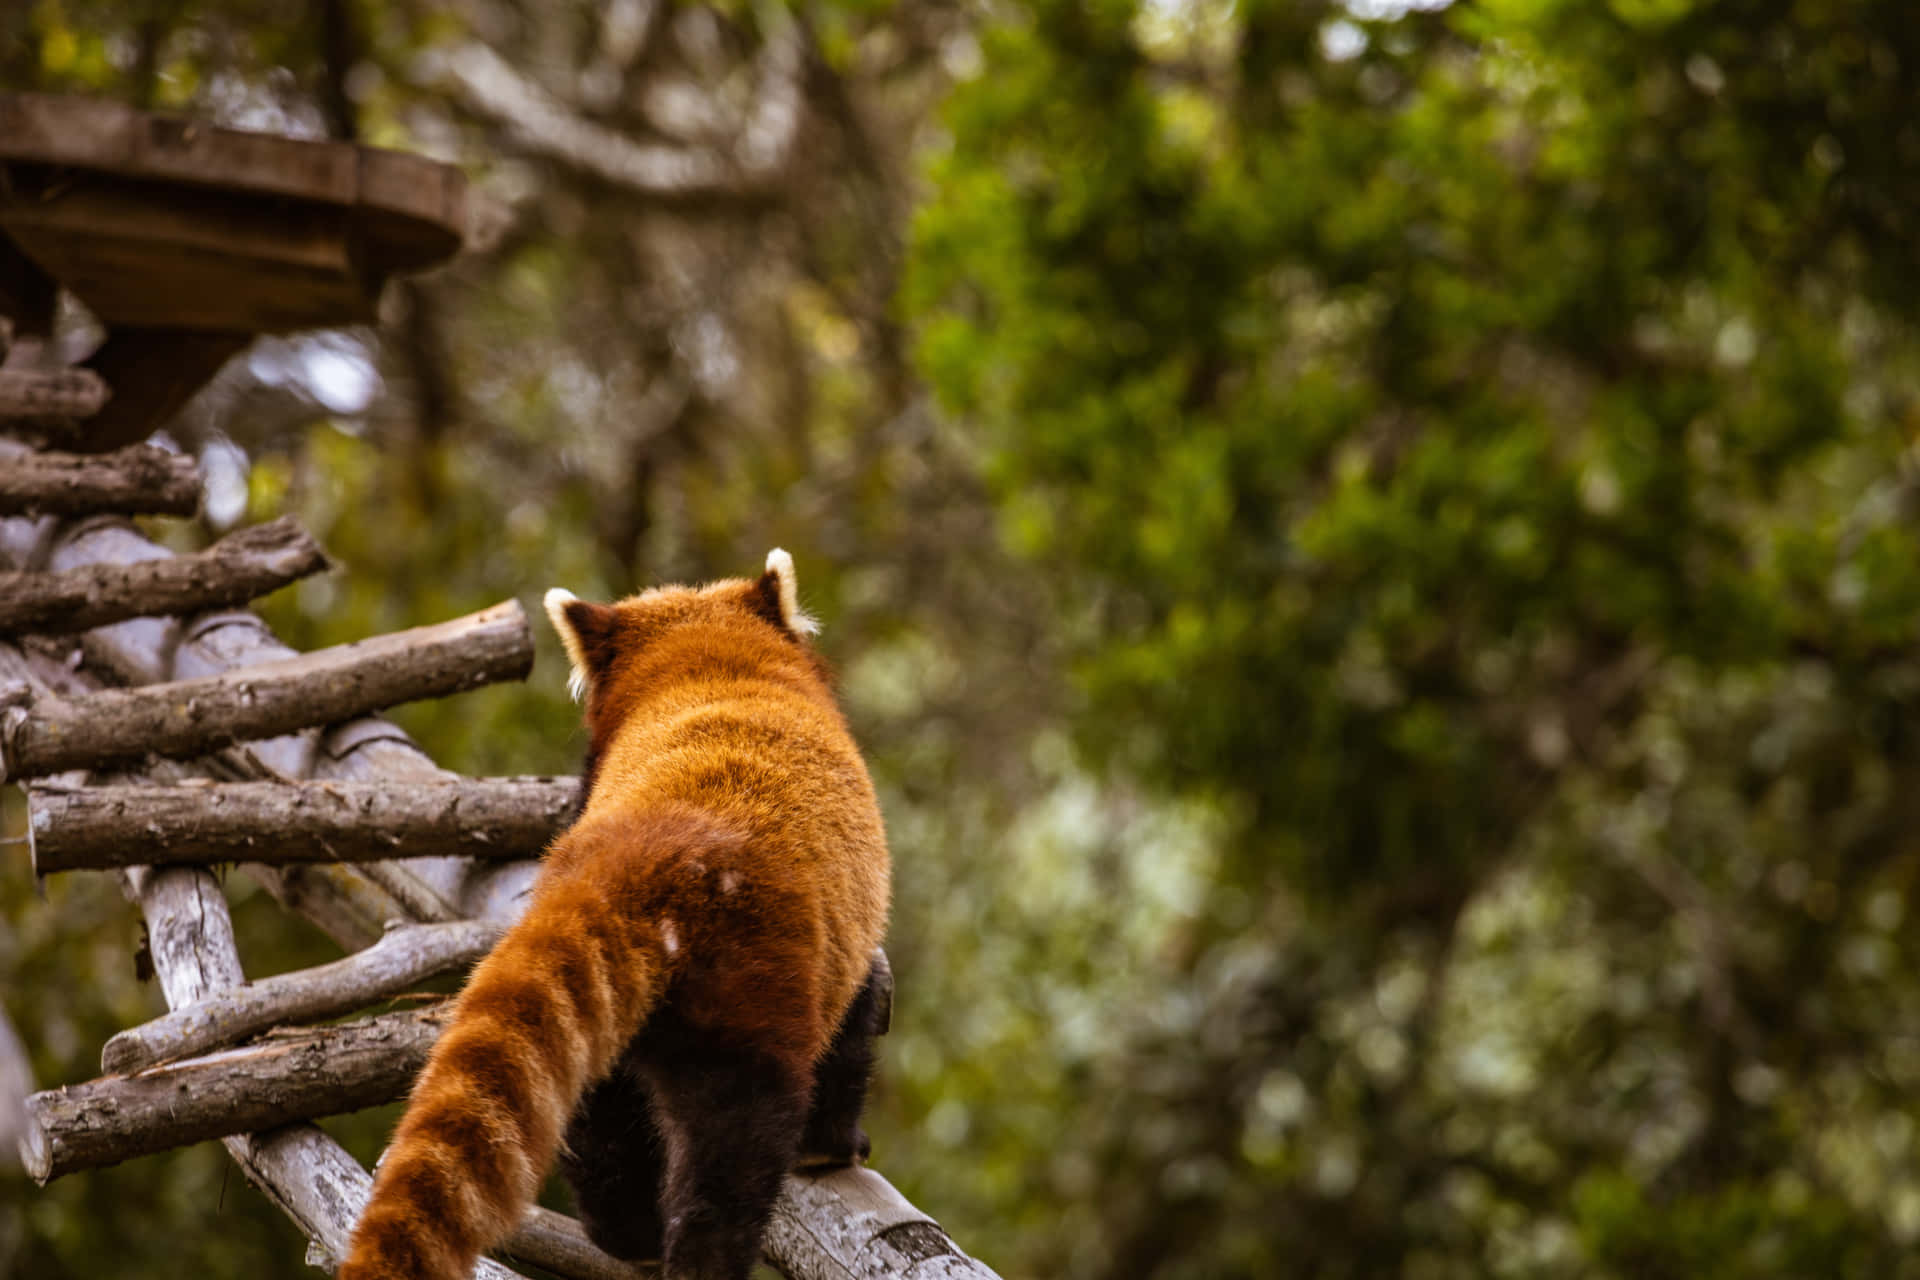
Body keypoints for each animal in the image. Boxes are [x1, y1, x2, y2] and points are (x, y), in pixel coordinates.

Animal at [339, 556, 890, 1280]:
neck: (709, 672)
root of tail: (646, 855)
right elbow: (854, 1027)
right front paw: (833, 1145)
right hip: (746, 980)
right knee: (735, 1140)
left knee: (592, 1111)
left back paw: (626, 1234)